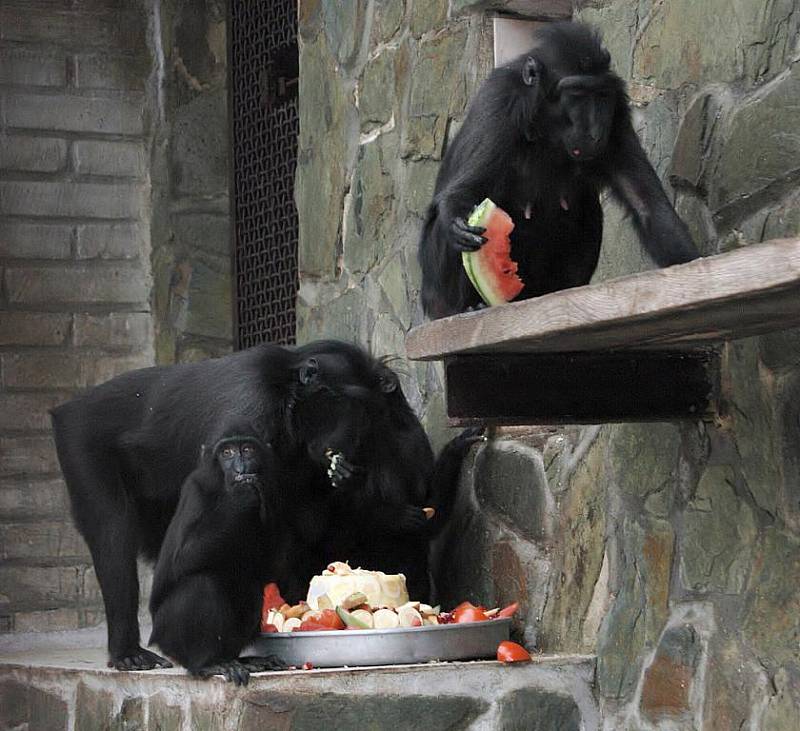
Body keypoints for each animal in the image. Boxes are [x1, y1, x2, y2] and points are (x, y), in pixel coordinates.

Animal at [148, 426, 282, 684]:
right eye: (226, 452)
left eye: (247, 449)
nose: (240, 468)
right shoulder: (194, 492)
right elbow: (182, 558)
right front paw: (241, 496)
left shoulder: (272, 494)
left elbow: (266, 568)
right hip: (167, 636)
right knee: (201, 584)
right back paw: (208, 663)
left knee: (251, 588)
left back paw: (241, 660)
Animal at [418, 21, 700, 318]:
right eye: (577, 95)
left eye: (601, 97)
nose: (595, 130)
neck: (547, 128)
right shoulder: (501, 102)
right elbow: (464, 191)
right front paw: (457, 221)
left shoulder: (617, 119)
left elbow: (646, 203)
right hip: (438, 298)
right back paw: (468, 306)